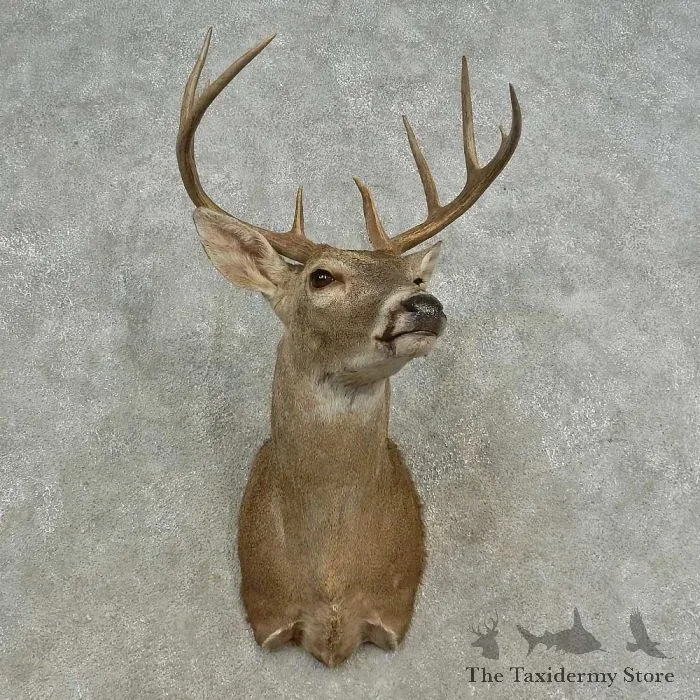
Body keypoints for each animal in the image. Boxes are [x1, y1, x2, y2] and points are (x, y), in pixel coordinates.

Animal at [176, 28, 521, 667]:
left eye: (414, 277)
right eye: (321, 276)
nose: (424, 305)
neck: (332, 586)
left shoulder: (393, 610)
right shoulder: (267, 611)